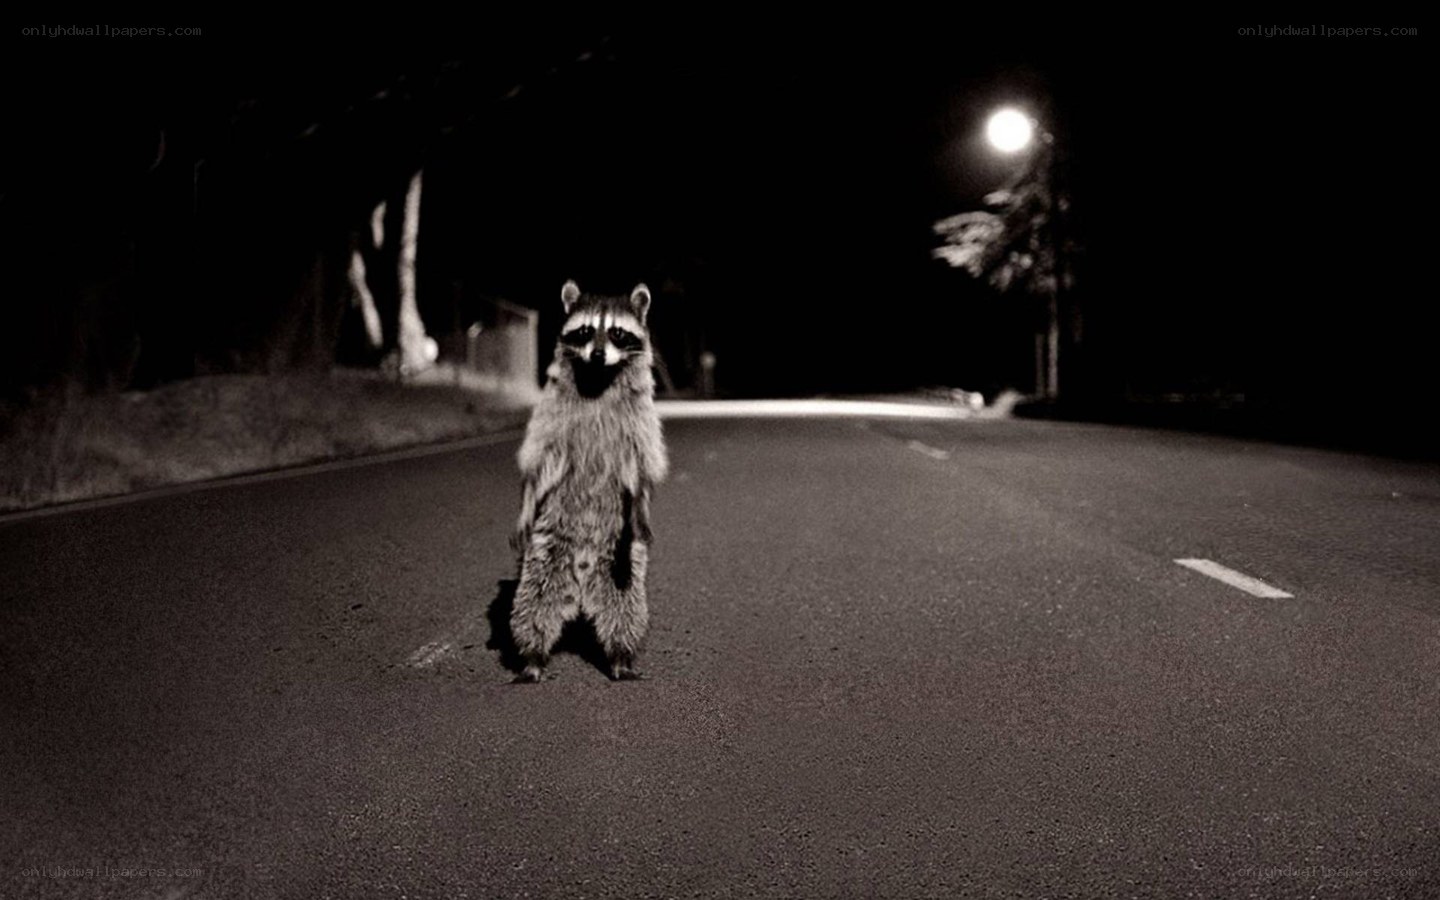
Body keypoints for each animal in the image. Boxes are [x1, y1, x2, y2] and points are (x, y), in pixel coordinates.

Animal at [509, 280, 668, 682]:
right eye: (584, 331)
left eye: (616, 332)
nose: (597, 354)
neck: (598, 378)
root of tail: (581, 578)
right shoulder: (551, 410)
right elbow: (539, 457)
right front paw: (526, 500)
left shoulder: (641, 418)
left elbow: (642, 464)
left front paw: (643, 502)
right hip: (547, 549)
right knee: (533, 604)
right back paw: (532, 655)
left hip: (621, 558)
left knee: (626, 609)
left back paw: (621, 655)